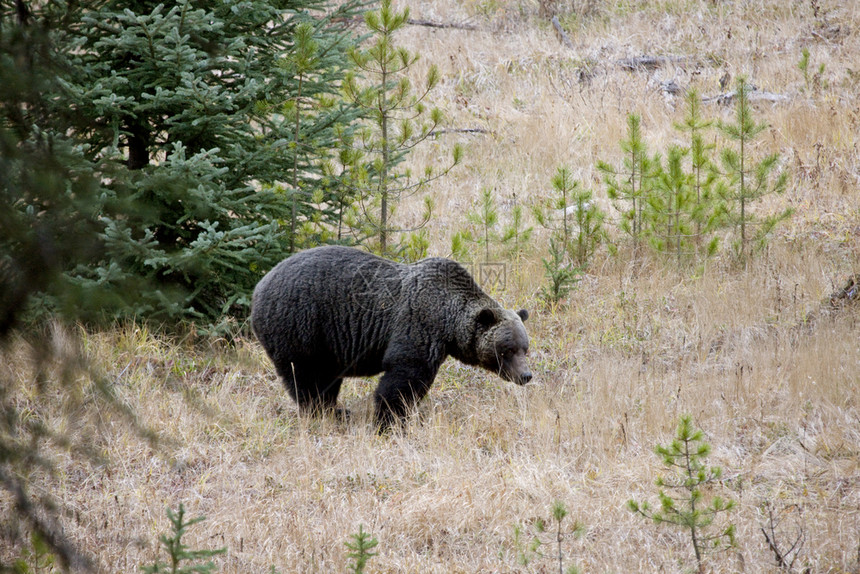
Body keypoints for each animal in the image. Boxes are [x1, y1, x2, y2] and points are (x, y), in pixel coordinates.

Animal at [249, 245, 532, 430]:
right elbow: (402, 381)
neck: (447, 322)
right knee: (307, 378)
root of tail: (259, 286)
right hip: (301, 325)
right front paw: (390, 422)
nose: (526, 375)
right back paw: (325, 412)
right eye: (507, 349)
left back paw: (337, 411)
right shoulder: (418, 327)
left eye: (525, 347)